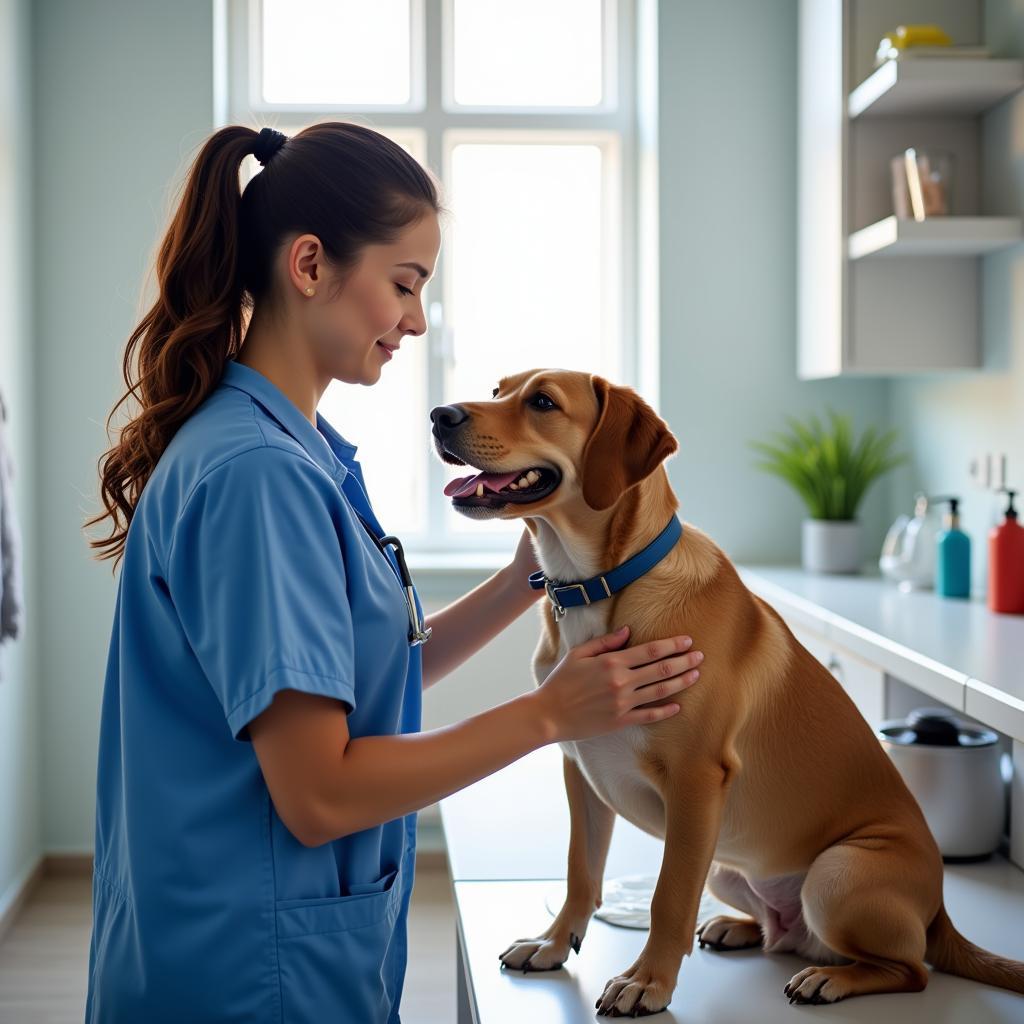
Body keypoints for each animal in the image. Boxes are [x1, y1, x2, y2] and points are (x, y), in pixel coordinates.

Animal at [430, 370, 1024, 1015]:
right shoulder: (578, 767)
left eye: (542, 402)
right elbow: (580, 871)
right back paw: (737, 928)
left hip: (836, 872)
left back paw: (830, 979)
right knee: (781, 936)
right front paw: (553, 944)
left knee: (907, 969)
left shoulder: (695, 779)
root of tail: (940, 913)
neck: (600, 585)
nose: (439, 415)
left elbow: (667, 895)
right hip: (724, 865)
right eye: (498, 390)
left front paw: (647, 983)